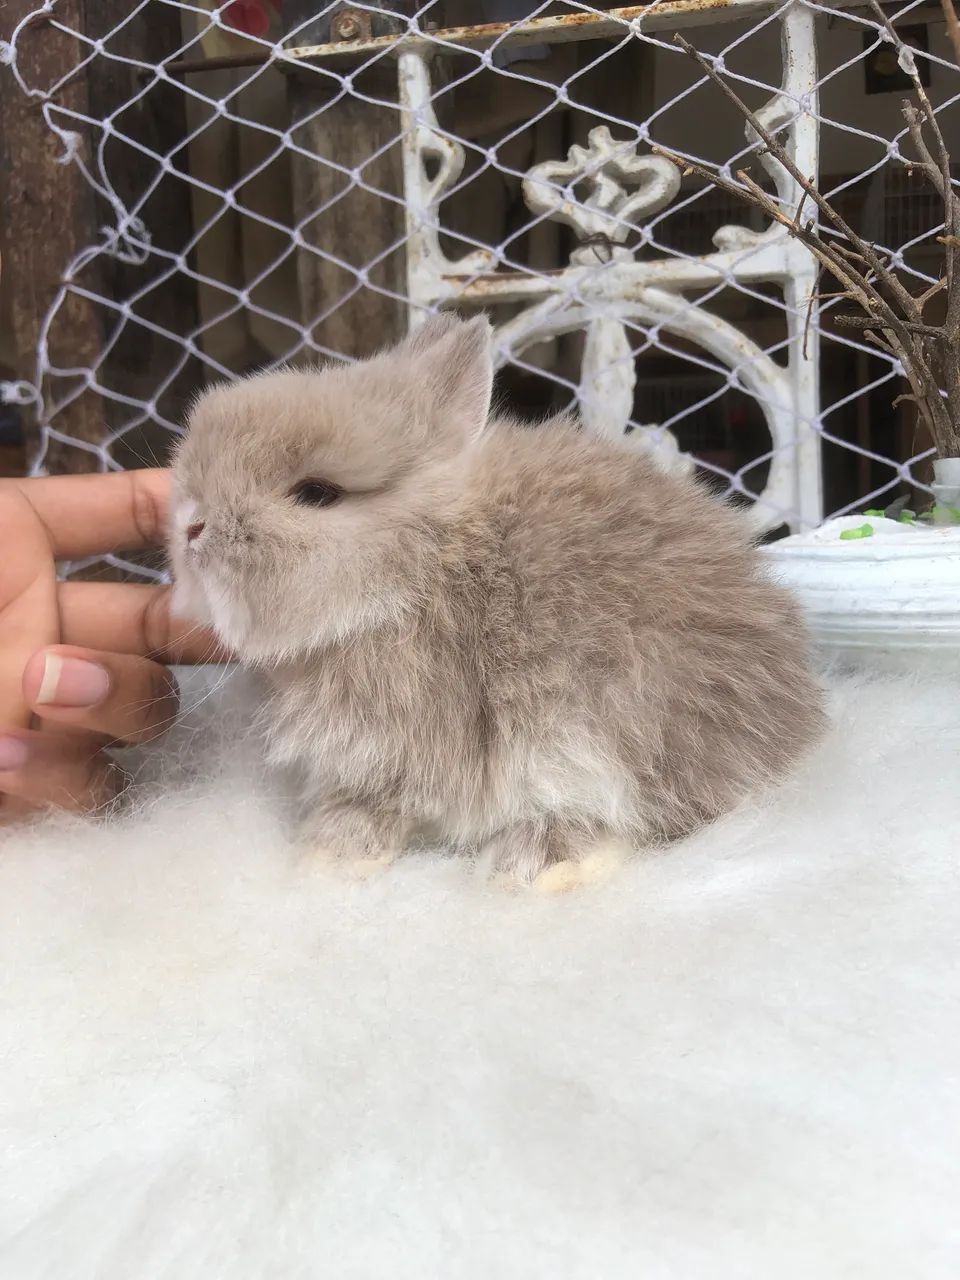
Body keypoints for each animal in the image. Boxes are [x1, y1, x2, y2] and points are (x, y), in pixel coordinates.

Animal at [169, 313, 826, 885]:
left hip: (602, 729)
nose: (192, 527)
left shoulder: (410, 736)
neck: (415, 571)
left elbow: (391, 800)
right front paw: (329, 850)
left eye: (316, 494)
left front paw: (335, 853)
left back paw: (538, 866)